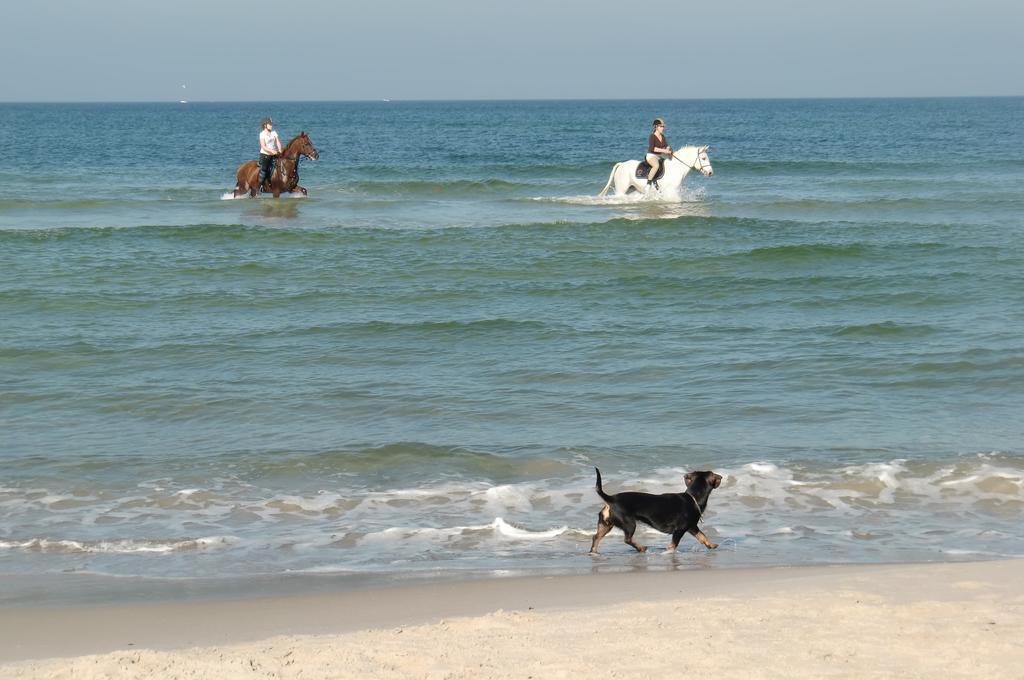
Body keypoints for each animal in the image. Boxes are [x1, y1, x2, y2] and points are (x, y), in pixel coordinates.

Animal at [589, 471, 724, 557]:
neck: (693, 498)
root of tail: (610, 499)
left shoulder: (692, 527)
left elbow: (702, 536)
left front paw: (711, 545)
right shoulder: (680, 529)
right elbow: (674, 544)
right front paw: (668, 552)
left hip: (606, 524)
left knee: (596, 537)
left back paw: (594, 553)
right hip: (629, 523)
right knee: (627, 539)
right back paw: (642, 548)